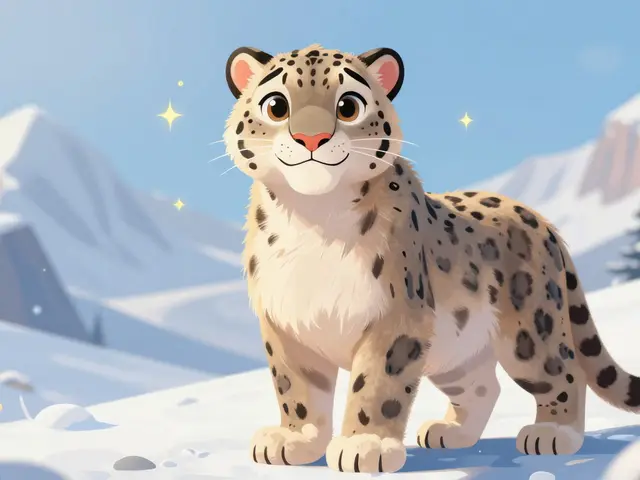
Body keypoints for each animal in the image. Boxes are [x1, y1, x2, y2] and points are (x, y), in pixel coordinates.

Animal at [222, 43, 640, 474]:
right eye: (277, 105)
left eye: (348, 105)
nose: (311, 137)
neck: (314, 218)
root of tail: (540, 219)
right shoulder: (286, 322)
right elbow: (295, 387)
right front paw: (294, 439)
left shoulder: (396, 315)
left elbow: (377, 383)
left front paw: (365, 445)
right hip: (457, 349)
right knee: (483, 386)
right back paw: (450, 432)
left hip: (530, 330)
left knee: (563, 371)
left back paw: (553, 433)